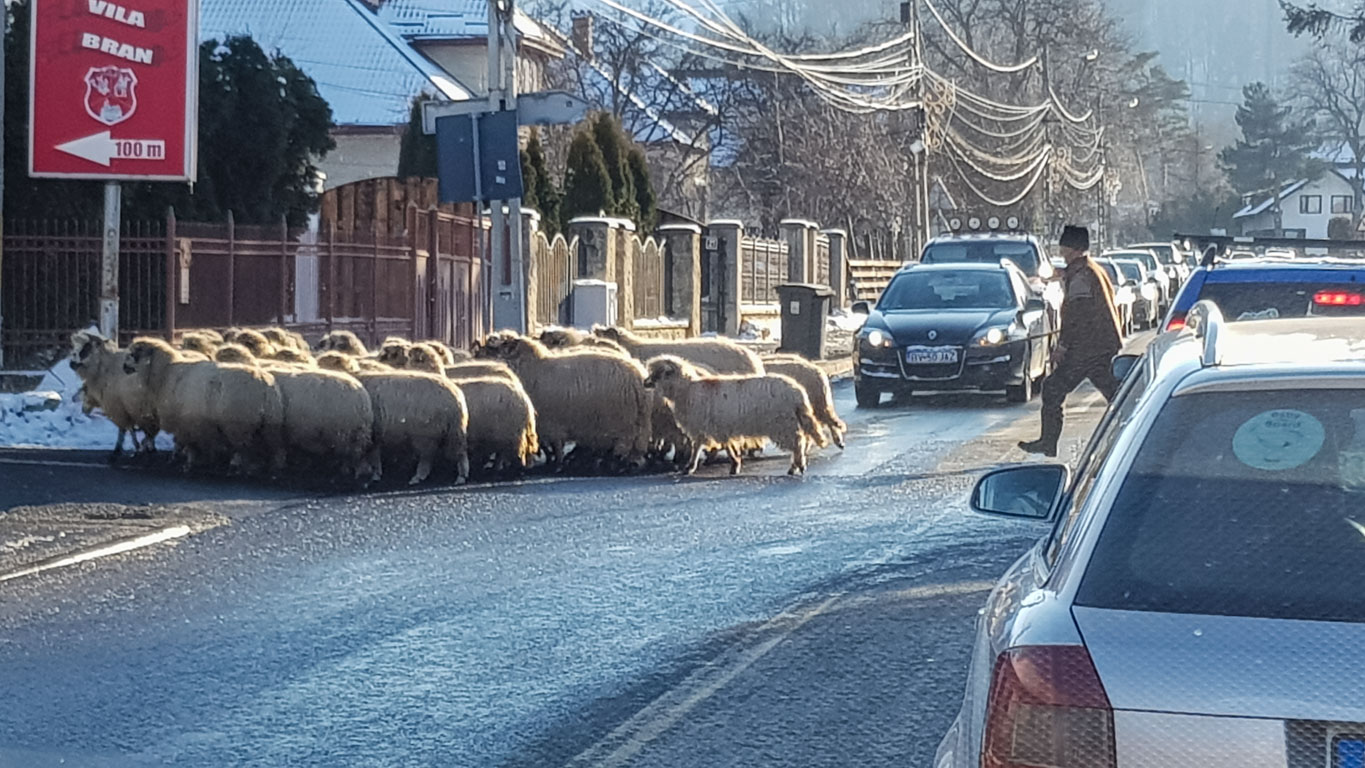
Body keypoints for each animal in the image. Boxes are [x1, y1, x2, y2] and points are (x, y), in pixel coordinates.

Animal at [644, 357, 824, 477]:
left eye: (659, 373)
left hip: (783, 424)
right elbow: (725, 447)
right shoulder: (719, 428)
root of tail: (798, 393)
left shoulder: (703, 427)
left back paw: (797, 466)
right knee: (801, 441)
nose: (645, 383)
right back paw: (796, 466)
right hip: (789, 423)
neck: (686, 391)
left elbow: (698, 448)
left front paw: (689, 467)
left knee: (798, 443)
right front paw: (735, 466)